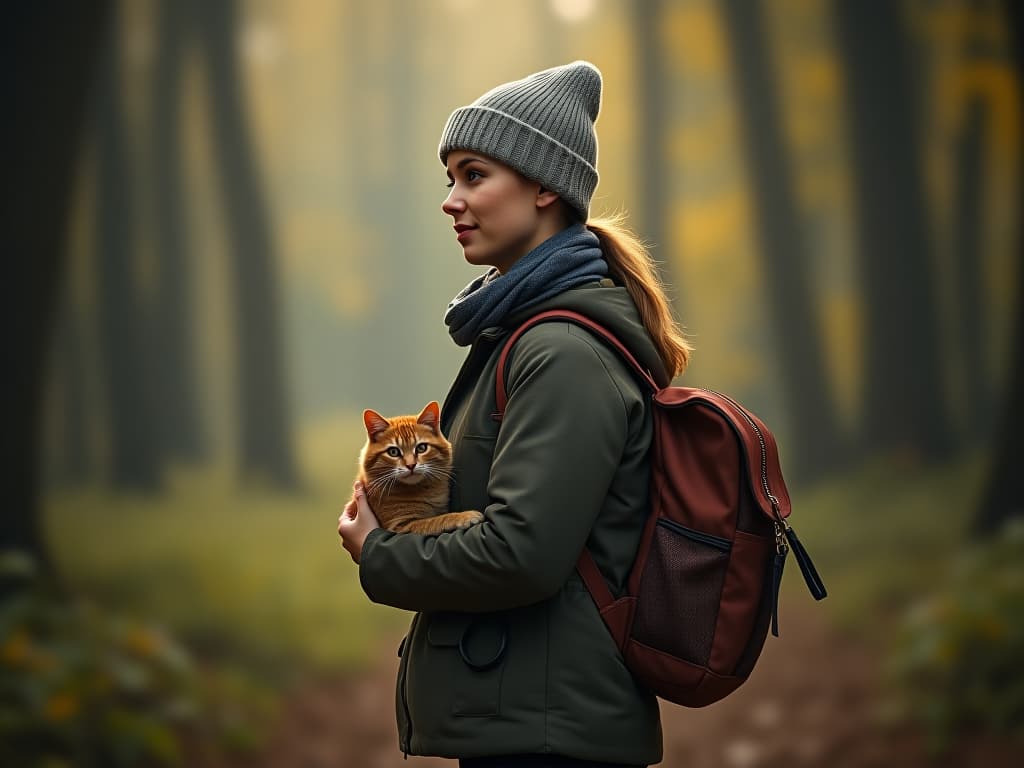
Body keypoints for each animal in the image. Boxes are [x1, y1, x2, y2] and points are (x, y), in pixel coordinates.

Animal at [356, 403, 483, 536]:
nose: (411, 465)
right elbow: (435, 520)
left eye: (421, 448)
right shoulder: (400, 526)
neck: (423, 489)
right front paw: (464, 515)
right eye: (393, 452)